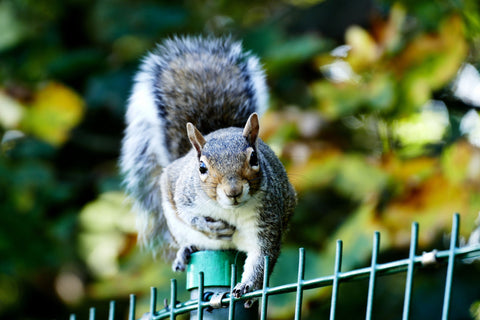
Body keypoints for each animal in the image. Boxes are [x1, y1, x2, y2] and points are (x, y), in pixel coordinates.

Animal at [120, 36, 296, 302]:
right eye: (202, 167)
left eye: (254, 158)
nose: (233, 191)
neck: (230, 210)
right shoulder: (183, 193)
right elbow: (187, 213)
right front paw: (207, 225)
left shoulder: (267, 220)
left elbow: (261, 259)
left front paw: (248, 287)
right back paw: (185, 250)